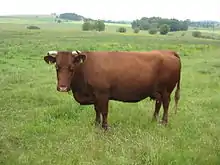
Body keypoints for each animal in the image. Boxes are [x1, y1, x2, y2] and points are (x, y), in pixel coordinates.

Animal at [43, 49, 181, 130]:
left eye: (72, 67)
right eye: (57, 67)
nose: (62, 87)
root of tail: (169, 52)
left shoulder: (103, 94)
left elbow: (104, 111)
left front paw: (105, 127)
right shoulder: (95, 96)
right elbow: (97, 110)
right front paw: (96, 124)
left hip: (166, 91)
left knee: (166, 104)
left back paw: (164, 122)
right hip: (157, 91)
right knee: (158, 104)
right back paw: (153, 120)